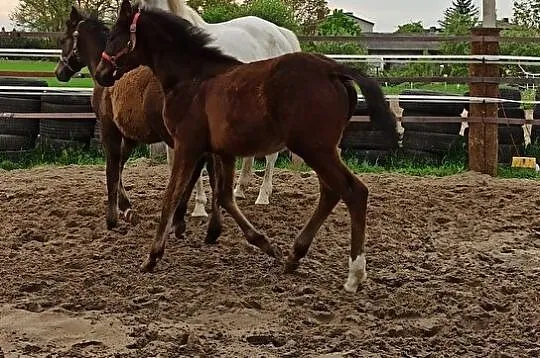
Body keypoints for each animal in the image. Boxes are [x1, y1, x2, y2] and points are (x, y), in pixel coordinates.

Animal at [54, 5, 219, 239]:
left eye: (64, 39)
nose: (59, 72)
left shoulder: (109, 129)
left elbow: (112, 168)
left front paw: (114, 216)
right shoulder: (131, 137)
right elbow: (120, 166)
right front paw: (126, 208)